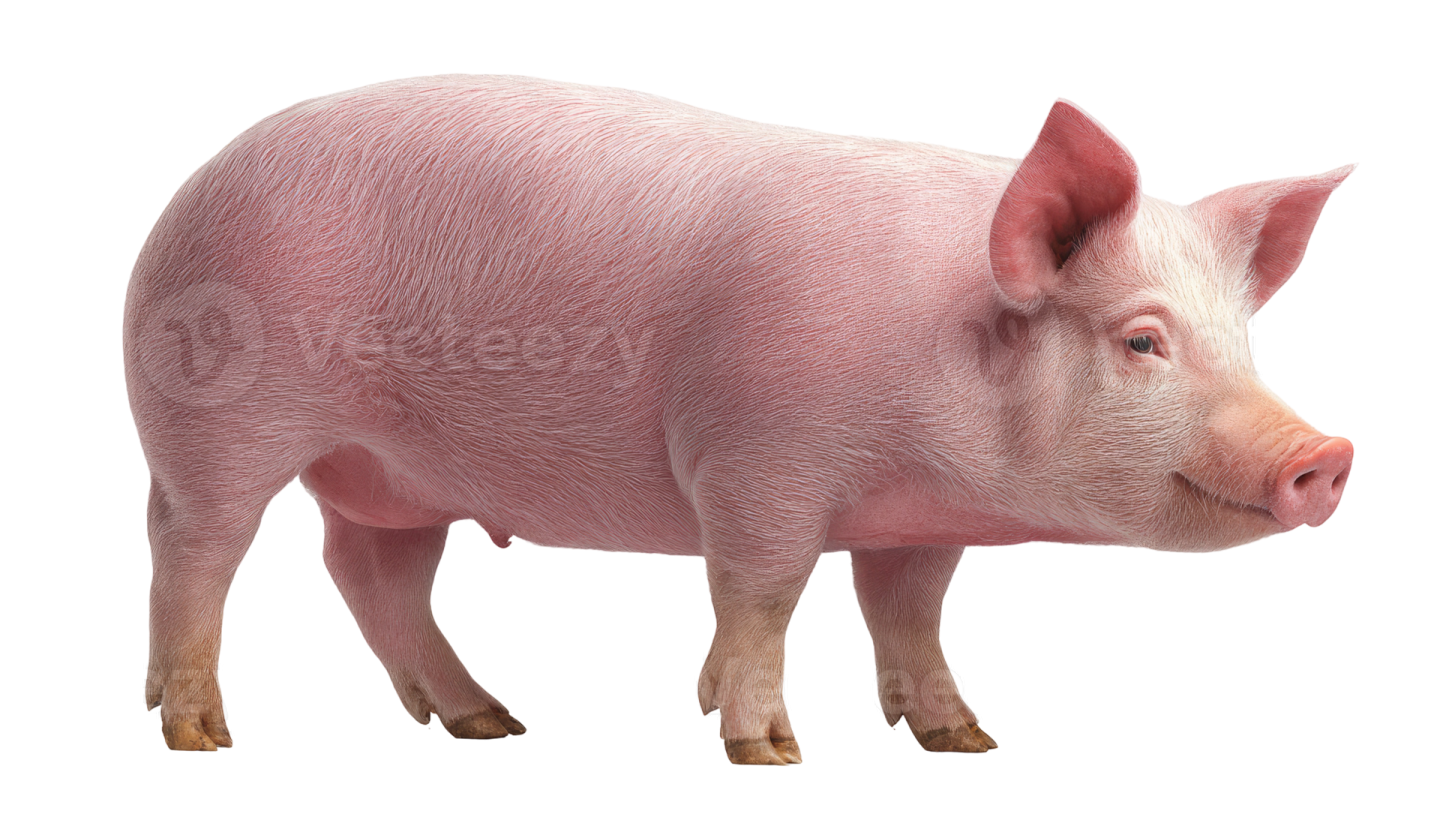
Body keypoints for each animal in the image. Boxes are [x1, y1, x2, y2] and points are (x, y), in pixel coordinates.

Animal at [121, 74, 1356, 764]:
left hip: (397, 474)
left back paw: (488, 723)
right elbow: (761, 597)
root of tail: (191, 188)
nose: (1326, 453)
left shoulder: (919, 522)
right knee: (194, 548)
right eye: (1142, 339)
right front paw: (769, 751)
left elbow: (908, 613)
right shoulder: (753, 463)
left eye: (1248, 338)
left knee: (369, 570)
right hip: (209, 420)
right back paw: (201, 733)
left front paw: (964, 737)